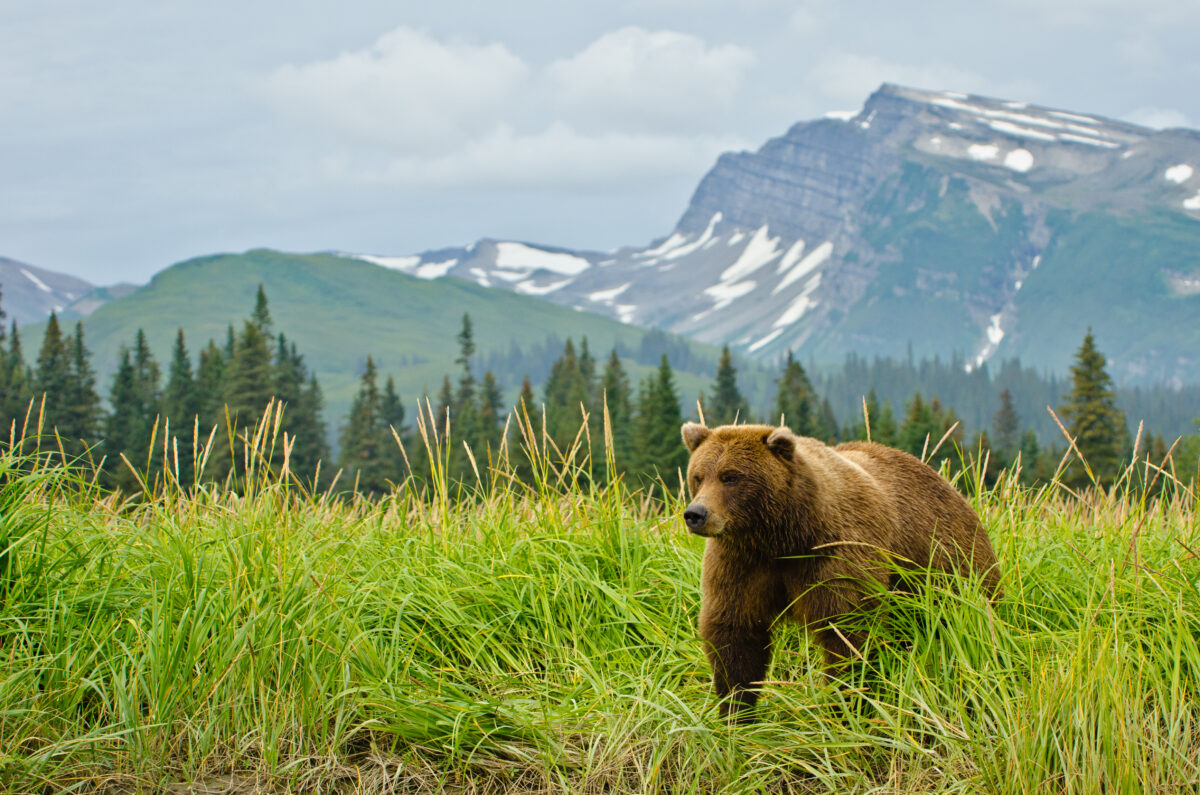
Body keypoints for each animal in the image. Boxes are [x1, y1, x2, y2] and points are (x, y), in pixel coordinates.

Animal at [681, 422, 998, 720]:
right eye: (698, 476)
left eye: (731, 477)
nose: (696, 514)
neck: (783, 538)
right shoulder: (741, 563)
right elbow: (734, 633)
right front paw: (736, 713)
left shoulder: (837, 556)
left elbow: (848, 632)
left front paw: (844, 705)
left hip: (946, 565)